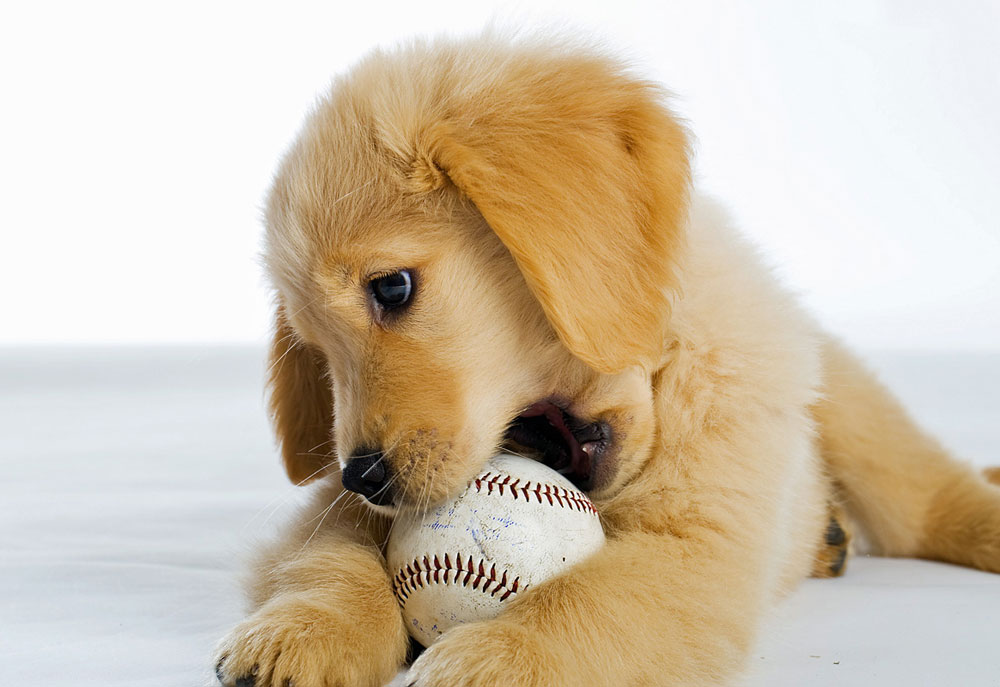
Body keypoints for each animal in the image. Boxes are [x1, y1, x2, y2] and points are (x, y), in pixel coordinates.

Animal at [213, 33, 1000, 687]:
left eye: (393, 287)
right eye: (319, 352)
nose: (364, 474)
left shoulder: (703, 542)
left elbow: (585, 599)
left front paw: (498, 657)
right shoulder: (330, 509)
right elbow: (331, 557)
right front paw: (303, 630)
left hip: (850, 400)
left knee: (923, 493)